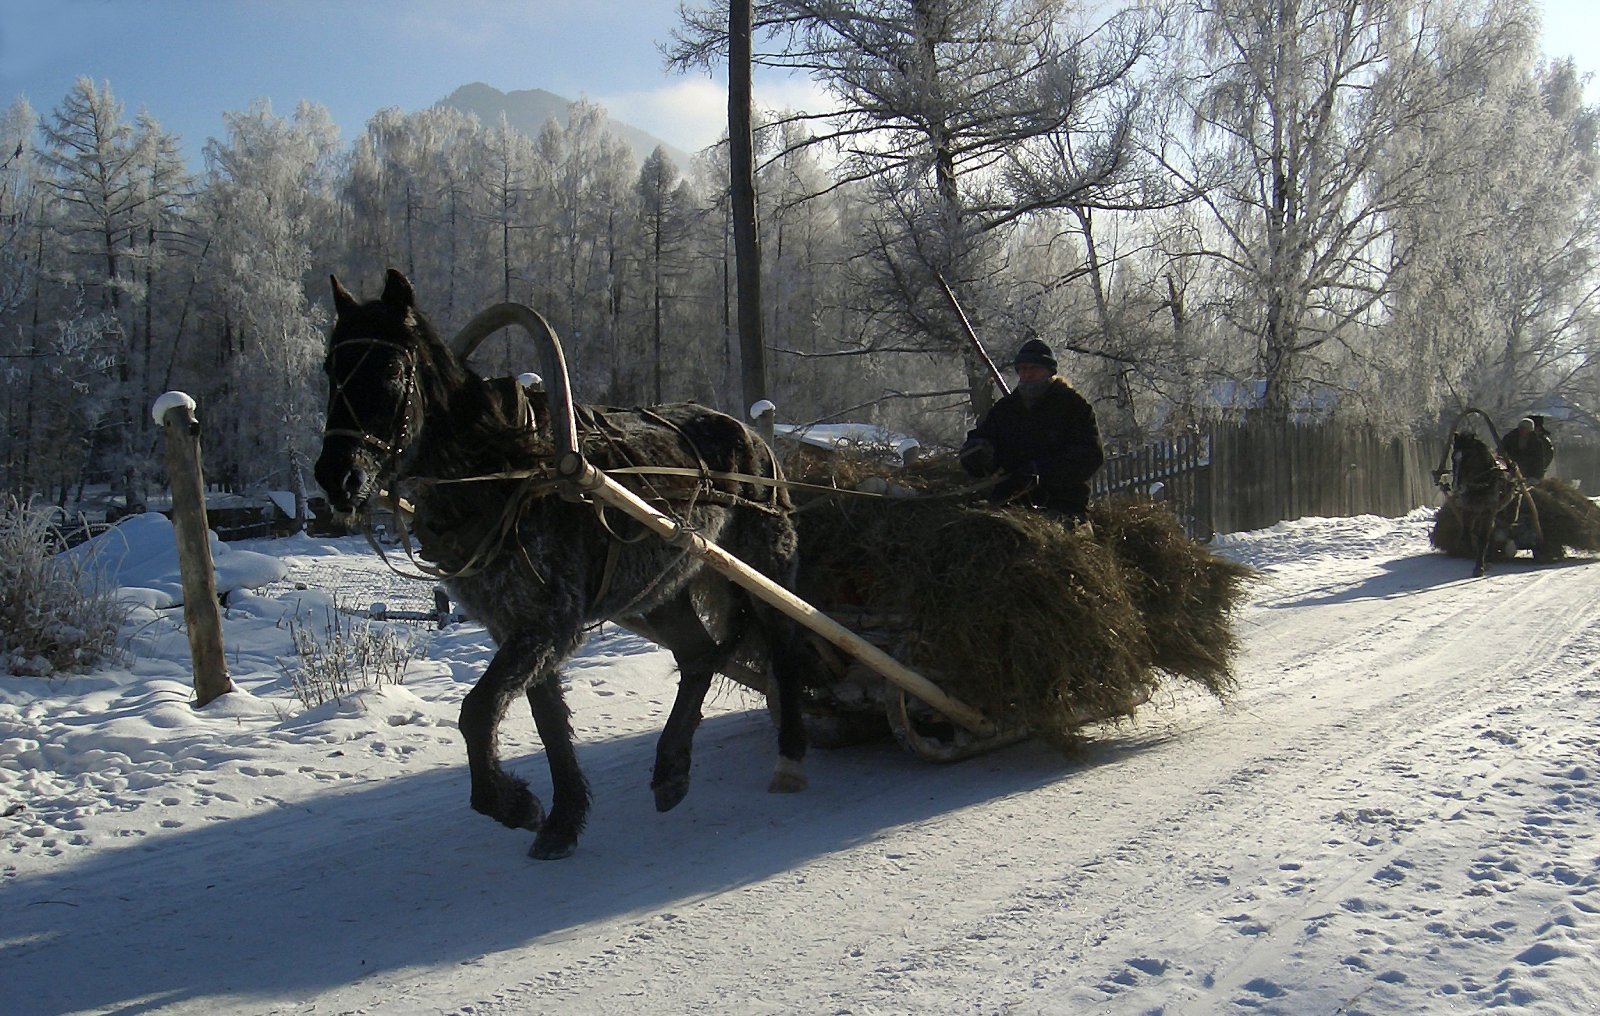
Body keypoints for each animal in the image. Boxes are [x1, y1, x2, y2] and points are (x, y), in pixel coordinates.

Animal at [313, 270, 812, 857]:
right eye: (331, 369)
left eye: (391, 369)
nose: (335, 477)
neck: (508, 471)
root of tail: (753, 435)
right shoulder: (518, 625)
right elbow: (545, 719)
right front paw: (563, 817)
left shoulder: (550, 622)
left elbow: (477, 711)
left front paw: (512, 803)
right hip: (659, 591)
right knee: (699, 657)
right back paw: (671, 768)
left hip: (764, 568)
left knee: (784, 646)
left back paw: (789, 758)